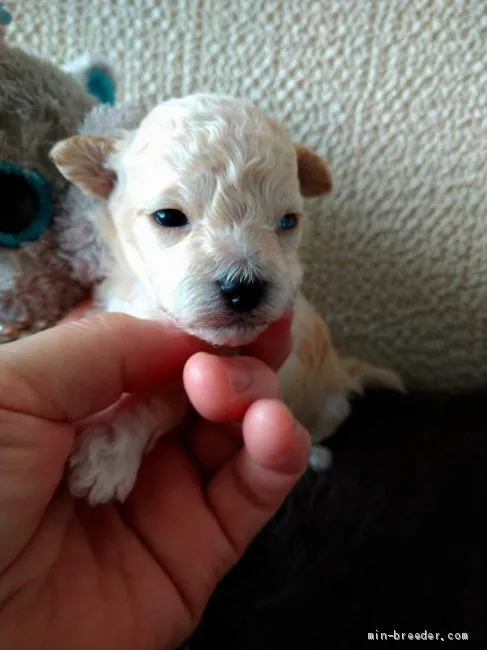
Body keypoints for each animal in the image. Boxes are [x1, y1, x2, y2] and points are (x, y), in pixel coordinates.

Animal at [50, 93, 400, 504]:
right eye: (168, 216)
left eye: (287, 222)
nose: (244, 288)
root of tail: (344, 372)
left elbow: (154, 398)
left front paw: (107, 452)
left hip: (326, 403)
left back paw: (313, 455)